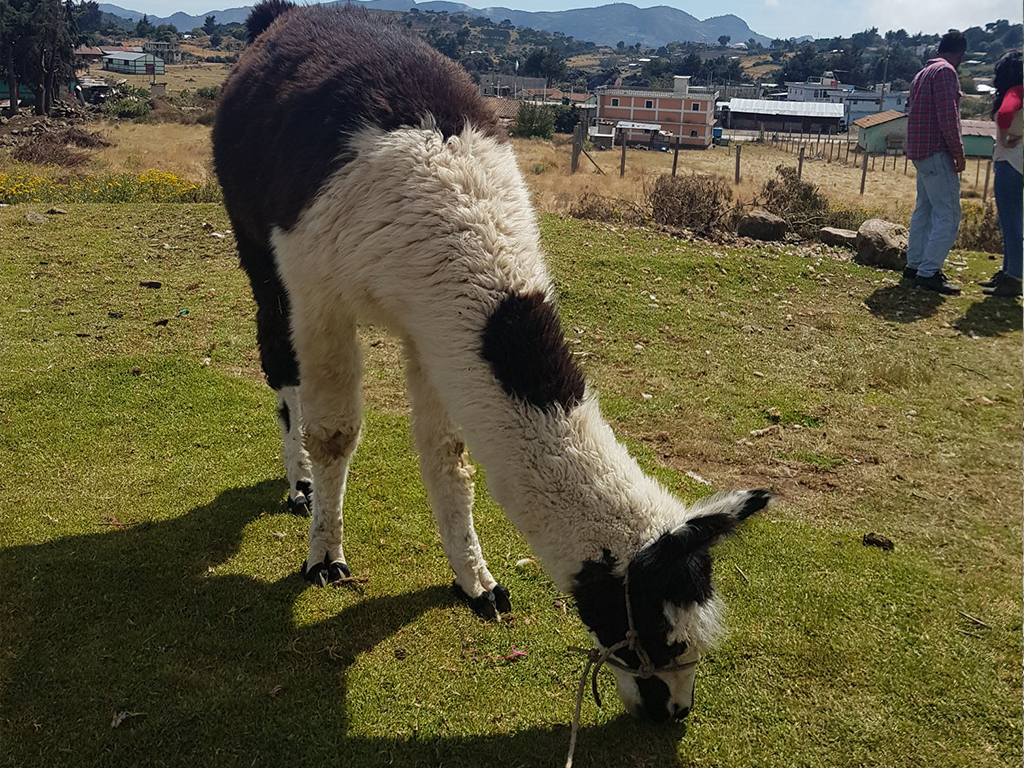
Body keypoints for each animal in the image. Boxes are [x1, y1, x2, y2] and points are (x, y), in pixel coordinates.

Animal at [212, 0, 769, 722]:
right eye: (659, 636)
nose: (673, 710)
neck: (450, 213)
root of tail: (283, 19)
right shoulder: (320, 292)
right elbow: (335, 433)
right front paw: (325, 557)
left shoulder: (436, 327)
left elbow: (448, 453)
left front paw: (476, 582)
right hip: (260, 243)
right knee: (282, 366)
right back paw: (299, 485)